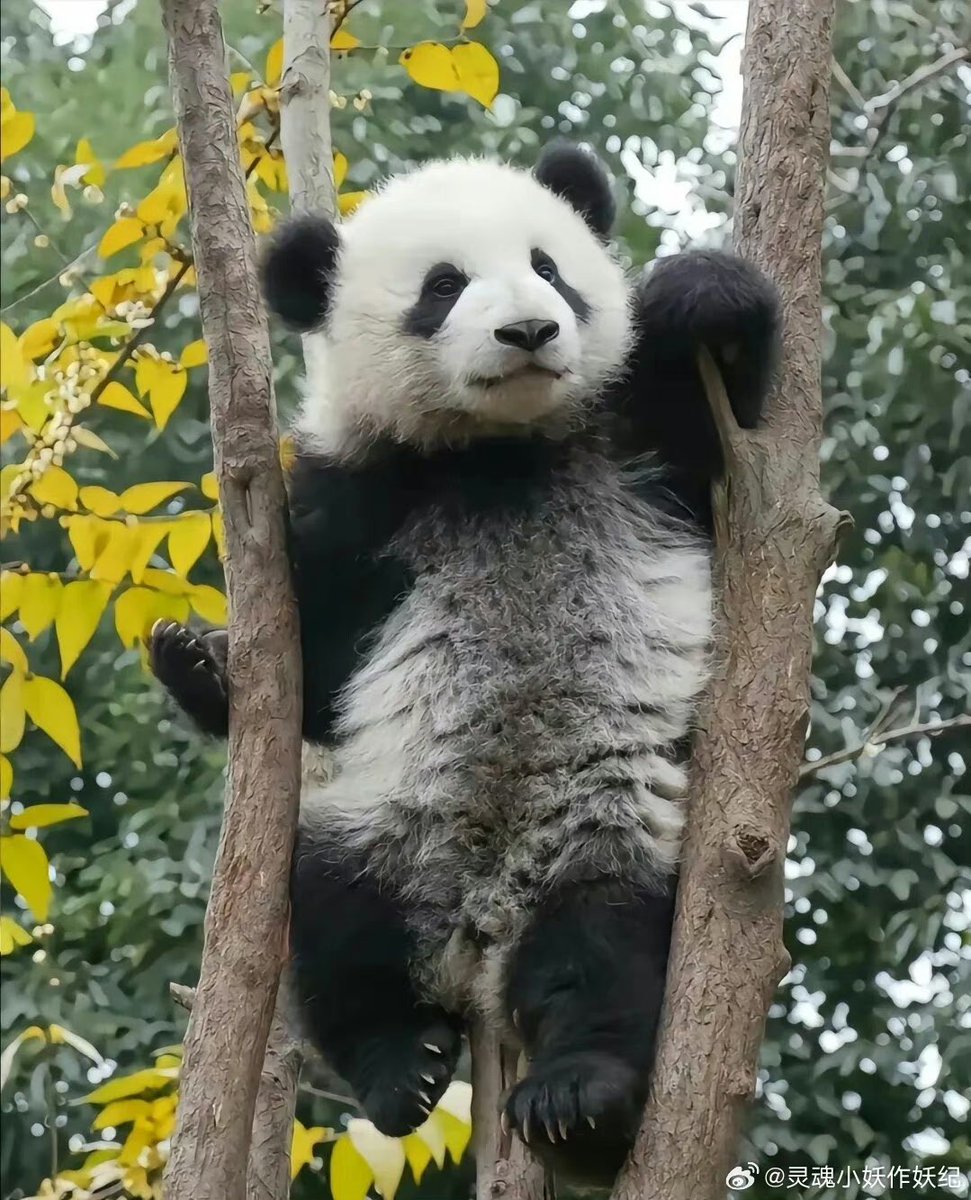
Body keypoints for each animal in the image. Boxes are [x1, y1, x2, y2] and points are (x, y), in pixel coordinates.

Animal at [147, 145, 777, 1185]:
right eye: (441, 288)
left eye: (548, 266)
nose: (528, 329)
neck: (498, 454)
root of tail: (480, 925)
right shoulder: (355, 497)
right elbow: (321, 676)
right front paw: (197, 657)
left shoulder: (638, 449)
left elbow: (750, 476)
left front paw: (701, 294)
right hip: (381, 824)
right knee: (334, 925)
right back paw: (401, 1066)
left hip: (615, 827)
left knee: (606, 954)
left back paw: (579, 1099)